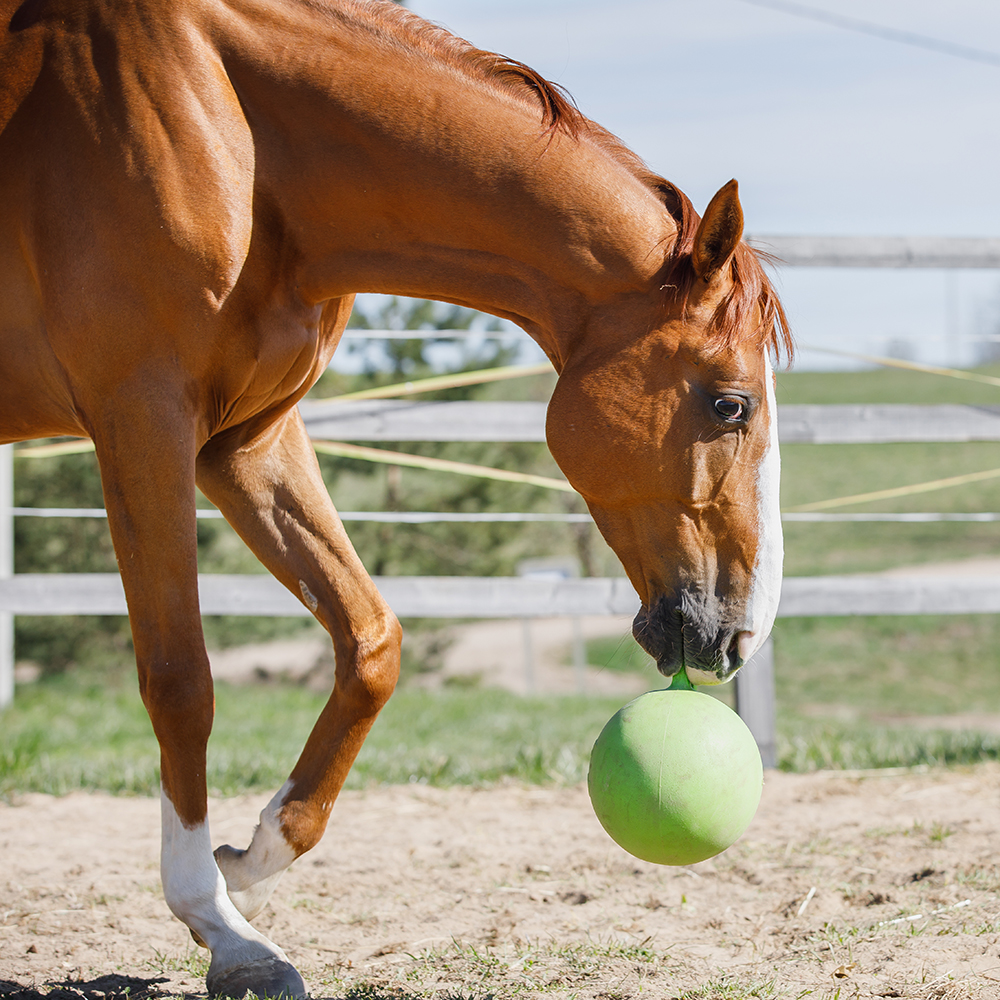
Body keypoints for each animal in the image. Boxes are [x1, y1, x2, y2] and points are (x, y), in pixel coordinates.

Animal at [3, 3, 792, 996]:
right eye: (731, 404)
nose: (744, 632)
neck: (233, 131)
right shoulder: (141, 420)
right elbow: (181, 680)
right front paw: (223, 930)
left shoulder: (244, 440)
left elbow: (371, 640)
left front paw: (254, 858)